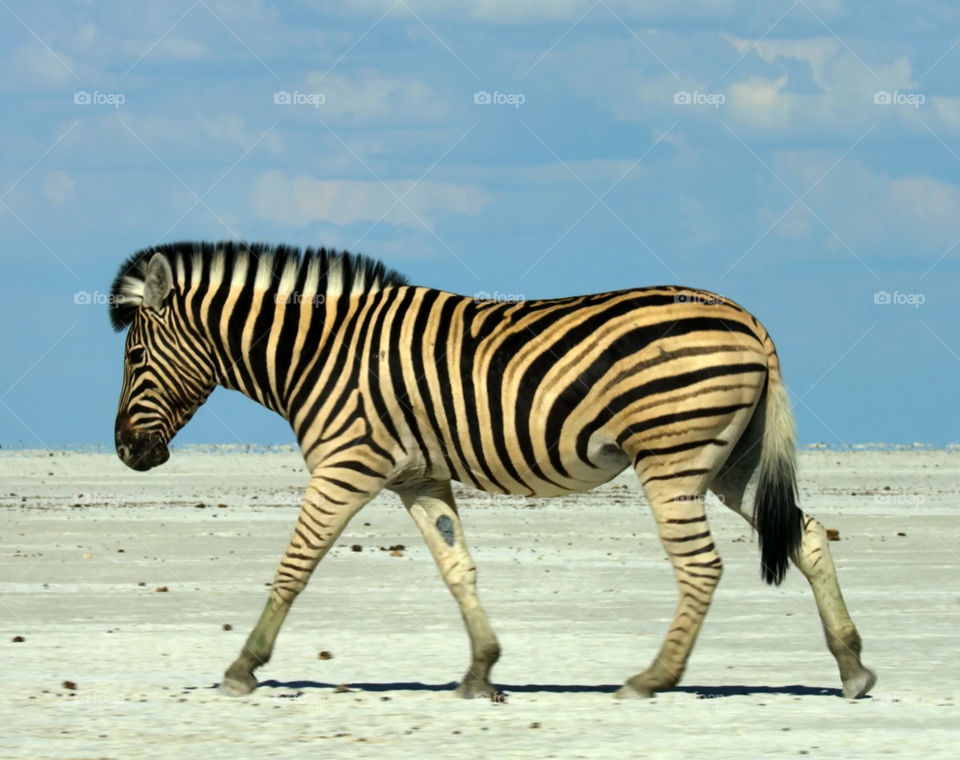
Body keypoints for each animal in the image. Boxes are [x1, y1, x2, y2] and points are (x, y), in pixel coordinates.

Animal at [110, 240, 876, 700]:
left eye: (134, 357)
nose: (124, 453)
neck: (318, 351)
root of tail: (747, 319)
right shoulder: (416, 475)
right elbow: (458, 569)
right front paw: (481, 671)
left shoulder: (347, 464)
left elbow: (294, 566)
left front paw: (243, 667)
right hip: (731, 461)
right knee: (806, 534)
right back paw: (853, 667)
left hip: (673, 459)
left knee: (702, 567)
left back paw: (653, 678)